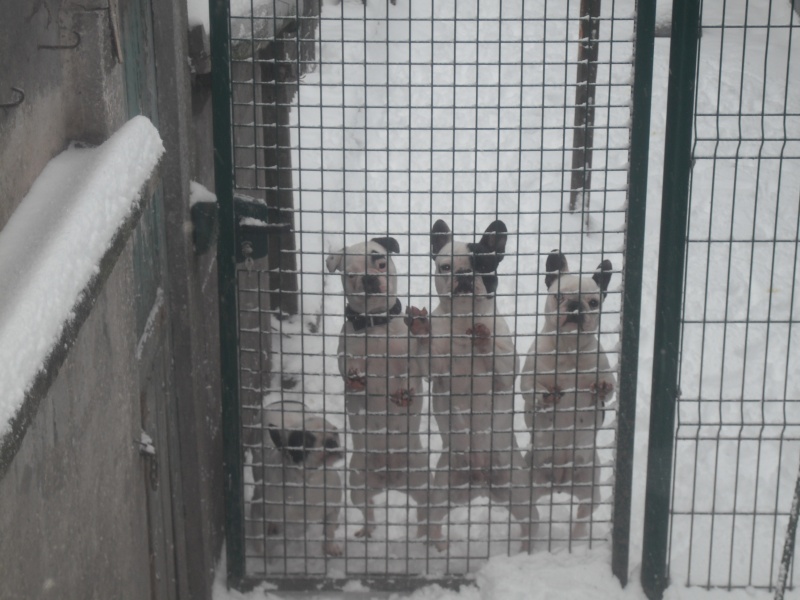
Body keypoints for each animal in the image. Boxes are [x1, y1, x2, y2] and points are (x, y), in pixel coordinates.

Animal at [245, 400, 342, 556]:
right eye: (306, 440)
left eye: (336, 433)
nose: (331, 441)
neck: (308, 480)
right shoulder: (258, 510)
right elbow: (259, 537)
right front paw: (262, 554)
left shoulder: (332, 508)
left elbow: (329, 531)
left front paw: (330, 548)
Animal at [328, 238, 434, 540]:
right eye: (350, 274)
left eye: (381, 262)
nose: (368, 278)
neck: (375, 323)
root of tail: (390, 480)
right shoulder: (346, 354)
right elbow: (349, 369)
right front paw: (356, 378)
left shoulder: (414, 363)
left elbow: (413, 372)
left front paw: (404, 393)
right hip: (357, 481)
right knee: (369, 511)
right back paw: (367, 531)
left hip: (422, 480)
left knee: (425, 513)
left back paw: (431, 539)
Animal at [410, 218, 536, 552]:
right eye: (445, 267)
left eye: (483, 264)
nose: (464, 275)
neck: (463, 319)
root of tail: (480, 484)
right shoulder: (436, 369)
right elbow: (430, 354)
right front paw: (422, 328)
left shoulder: (506, 368)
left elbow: (495, 352)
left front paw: (482, 336)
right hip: (442, 488)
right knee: (432, 518)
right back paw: (436, 547)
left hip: (518, 490)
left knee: (531, 519)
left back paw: (527, 549)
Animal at [520, 248, 616, 540]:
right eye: (560, 296)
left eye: (594, 302)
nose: (575, 306)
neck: (568, 350)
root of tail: (560, 484)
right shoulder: (528, 381)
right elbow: (533, 390)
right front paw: (548, 396)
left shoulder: (604, 374)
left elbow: (608, 389)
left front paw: (602, 388)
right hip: (526, 488)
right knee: (530, 516)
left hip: (591, 488)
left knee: (583, 515)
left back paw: (577, 538)